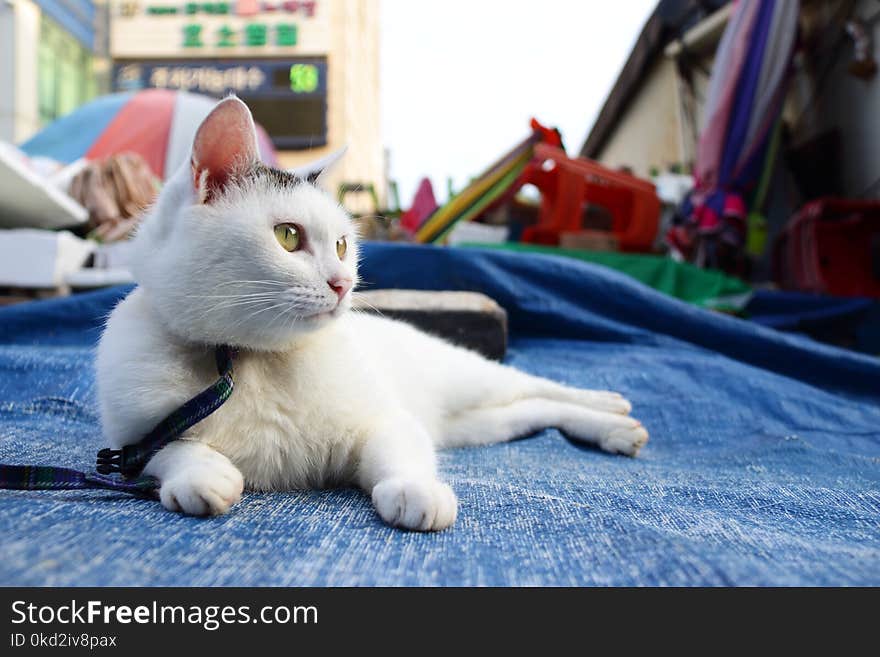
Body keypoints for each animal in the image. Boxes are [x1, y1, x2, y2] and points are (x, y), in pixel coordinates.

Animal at [96, 97, 648, 532]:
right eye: (288, 236)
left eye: (343, 245)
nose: (342, 284)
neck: (252, 362)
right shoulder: (132, 440)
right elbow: (163, 451)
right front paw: (202, 474)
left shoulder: (386, 420)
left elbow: (398, 451)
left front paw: (414, 490)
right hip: (476, 424)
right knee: (533, 410)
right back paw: (614, 428)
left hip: (468, 379)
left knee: (536, 386)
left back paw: (611, 408)